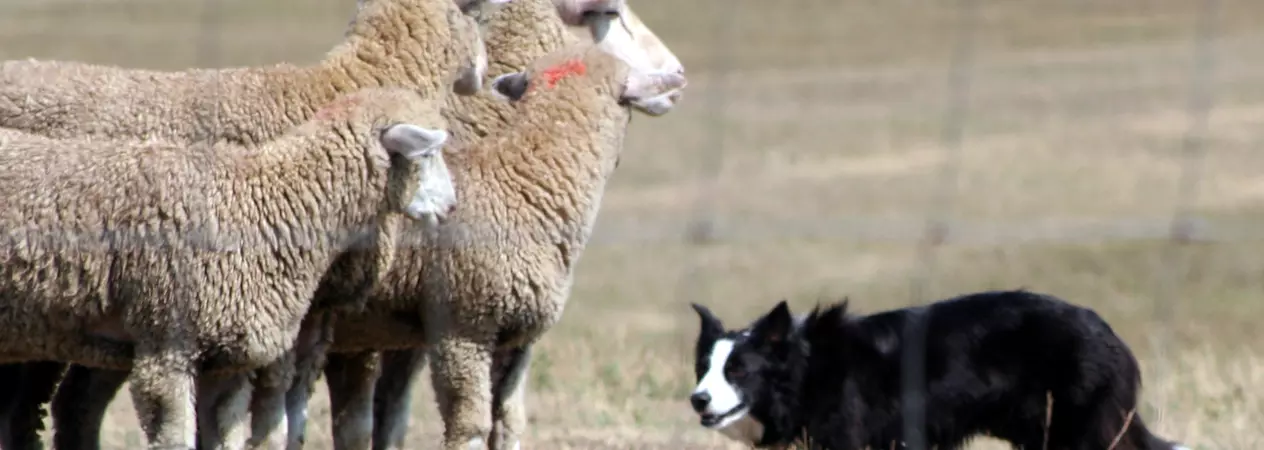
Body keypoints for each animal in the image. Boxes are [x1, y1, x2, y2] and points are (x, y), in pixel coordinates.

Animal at [0, 86, 462, 450]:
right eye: (428, 153)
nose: (451, 207)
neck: (266, 201)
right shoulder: (167, 346)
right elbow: (176, 439)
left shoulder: (228, 357)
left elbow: (229, 436)